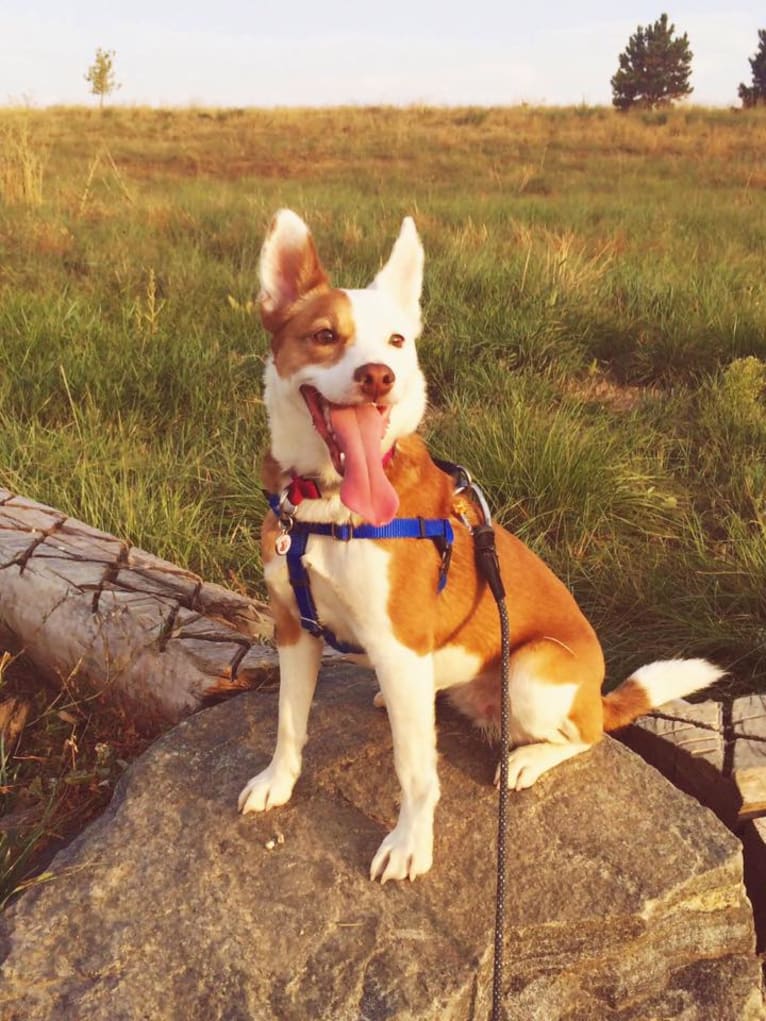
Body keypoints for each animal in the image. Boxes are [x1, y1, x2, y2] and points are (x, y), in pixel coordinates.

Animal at [240, 211, 727, 882]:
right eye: (324, 335)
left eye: (396, 341)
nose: (379, 376)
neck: (327, 504)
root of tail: (599, 695)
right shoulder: (293, 628)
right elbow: (289, 722)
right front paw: (277, 782)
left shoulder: (398, 646)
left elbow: (416, 772)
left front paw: (411, 843)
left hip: (530, 675)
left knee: (584, 735)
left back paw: (526, 760)